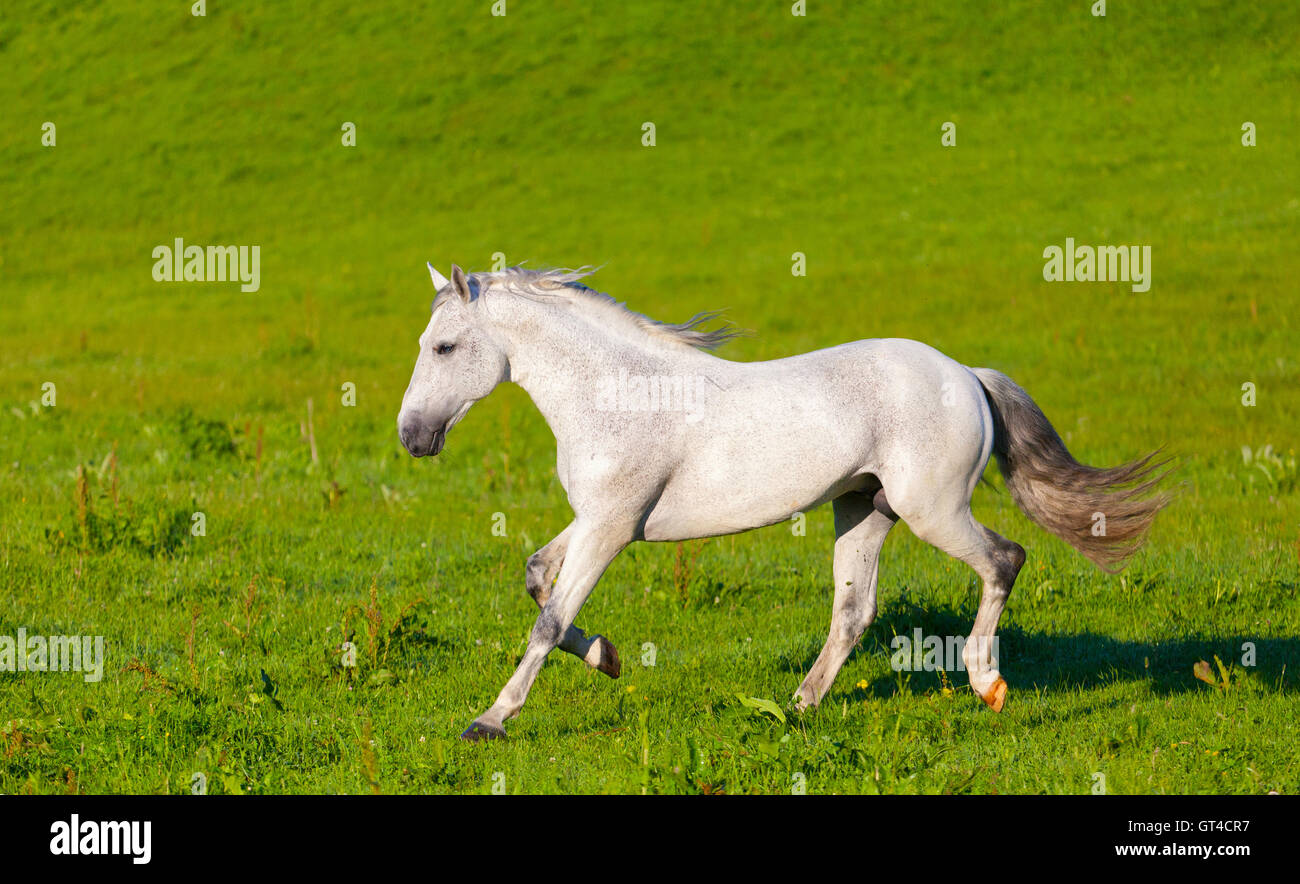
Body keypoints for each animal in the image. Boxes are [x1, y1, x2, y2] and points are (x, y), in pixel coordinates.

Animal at [395, 266, 1170, 743]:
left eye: (445, 346)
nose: (411, 437)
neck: (618, 393)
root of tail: (967, 375)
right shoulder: (596, 522)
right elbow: (535, 577)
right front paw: (609, 659)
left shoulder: (612, 527)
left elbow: (549, 619)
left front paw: (491, 720)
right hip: (864, 509)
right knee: (854, 612)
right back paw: (798, 707)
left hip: (933, 510)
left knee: (1005, 559)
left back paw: (986, 683)